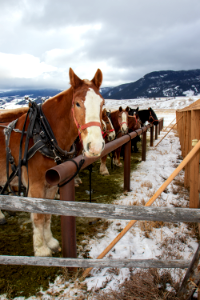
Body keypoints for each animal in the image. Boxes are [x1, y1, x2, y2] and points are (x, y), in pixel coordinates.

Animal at [0, 69, 105, 256]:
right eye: (77, 104)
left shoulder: (51, 185)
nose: (95, 146)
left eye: (102, 103)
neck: (43, 135)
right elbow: (38, 216)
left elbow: (48, 213)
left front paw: (50, 242)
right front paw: (41, 249)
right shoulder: (35, 186)